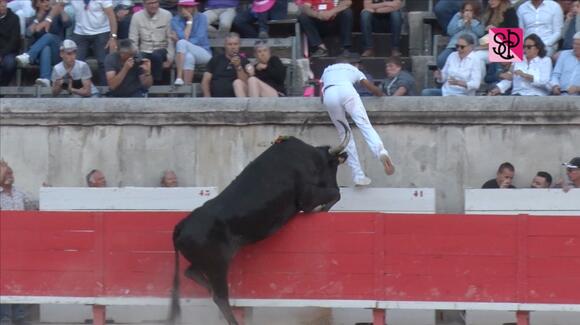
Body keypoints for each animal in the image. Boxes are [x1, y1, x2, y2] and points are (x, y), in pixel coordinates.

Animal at [165, 120, 352, 322]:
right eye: (333, 166)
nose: (336, 183)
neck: (312, 158)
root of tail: (182, 225)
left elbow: (335, 194)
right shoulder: (306, 198)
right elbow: (335, 194)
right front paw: (322, 209)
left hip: (207, 263)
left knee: (191, 272)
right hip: (218, 264)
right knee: (220, 297)